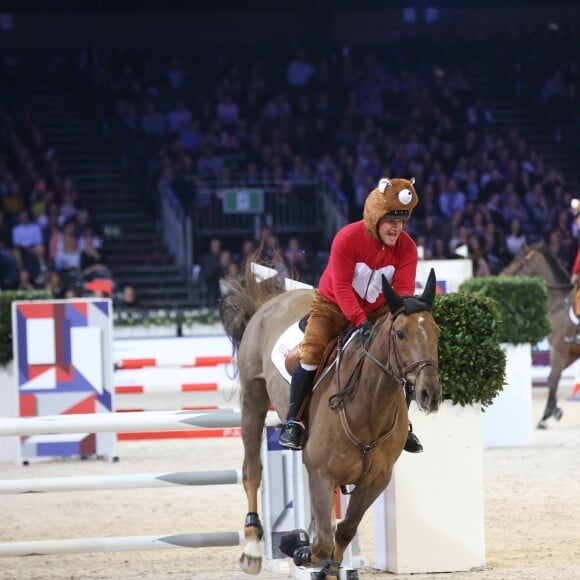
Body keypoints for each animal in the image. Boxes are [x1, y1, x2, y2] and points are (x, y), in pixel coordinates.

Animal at [220, 268, 442, 580]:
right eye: (400, 334)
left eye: (437, 332)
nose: (429, 393)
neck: (368, 412)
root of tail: (272, 302)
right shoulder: (321, 474)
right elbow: (323, 542)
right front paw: (295, 546)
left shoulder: (376, 479)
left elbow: (343, 531)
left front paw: (325, 564)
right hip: (254, 398)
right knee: (252, 470)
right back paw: (252, 549)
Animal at [500, 242, 576, 428]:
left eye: (519, 263)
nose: (503, 275)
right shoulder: (569, 352)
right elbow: (552, 378)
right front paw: (555, 410)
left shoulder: (560, 349)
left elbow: (553, 378)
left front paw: (547, 414)